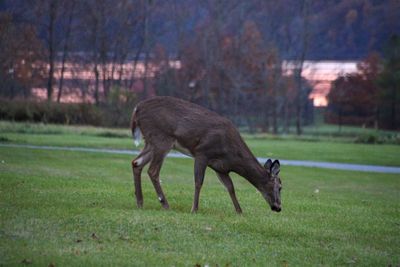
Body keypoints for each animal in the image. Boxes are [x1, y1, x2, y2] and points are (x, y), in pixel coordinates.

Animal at [130, 96, 282, 214]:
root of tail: (136, 108)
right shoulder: (202, 153)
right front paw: (194, 209)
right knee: (153, 170)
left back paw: (140, 202)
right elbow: (199, 182)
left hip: (151, 141)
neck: (232, 157)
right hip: (161, 138)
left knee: (136, 162)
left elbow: (230, 187)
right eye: (280, 186)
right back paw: (165, 204)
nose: (278, 207)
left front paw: (239, 211)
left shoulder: (221, 168)